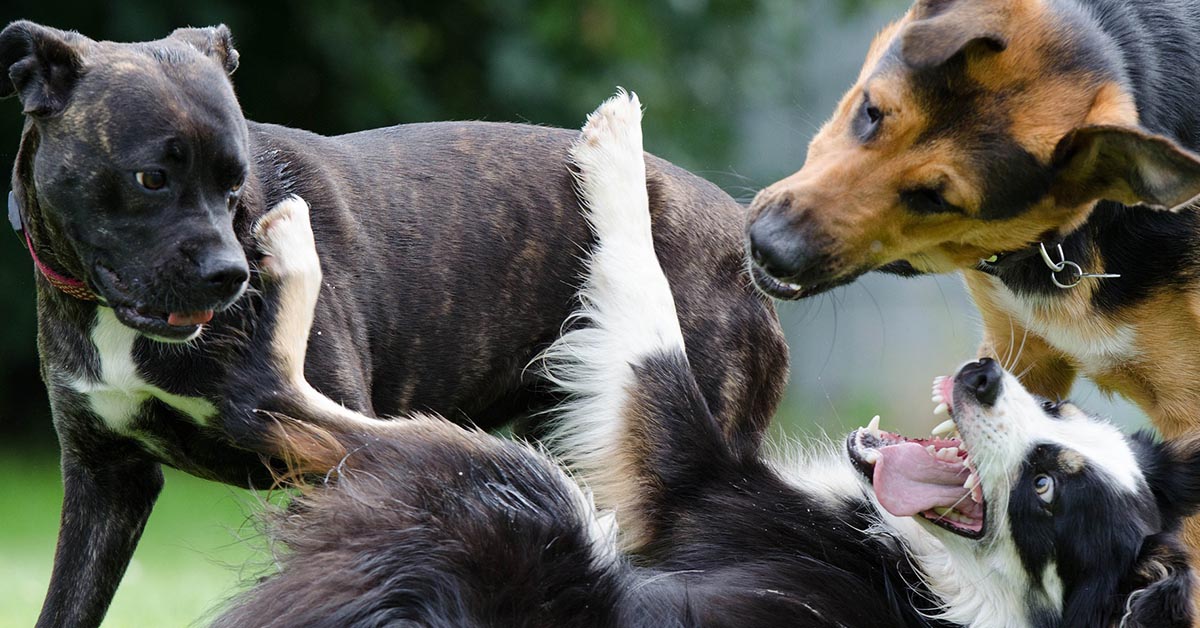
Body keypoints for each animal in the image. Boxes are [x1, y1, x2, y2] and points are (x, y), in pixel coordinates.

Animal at [213, 94, 1200, 628]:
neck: (943, 587)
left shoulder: (689, 483)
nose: (986, 375)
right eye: (1064, 412)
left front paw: (617, 153)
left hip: (523, 489)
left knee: (288, 403)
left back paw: (290, 247)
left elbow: (647, 316)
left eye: (1046, 490)